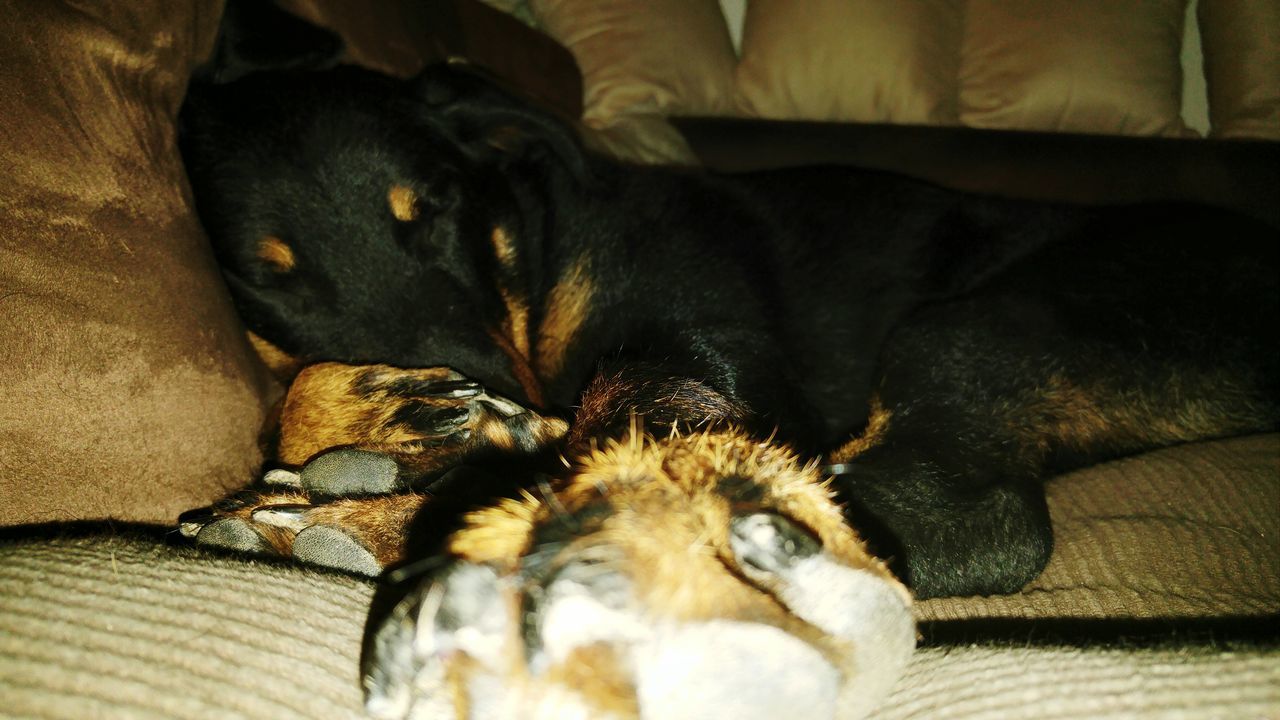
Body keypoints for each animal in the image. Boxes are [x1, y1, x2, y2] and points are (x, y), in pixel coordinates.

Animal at [172, 7, 1280, 717]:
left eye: (434, 208)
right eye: (266, 277)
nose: (494, 387)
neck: (538, 248)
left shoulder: (699, 344)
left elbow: (657, 429)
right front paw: (398, 416)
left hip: (991, 318)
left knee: (955, 516)